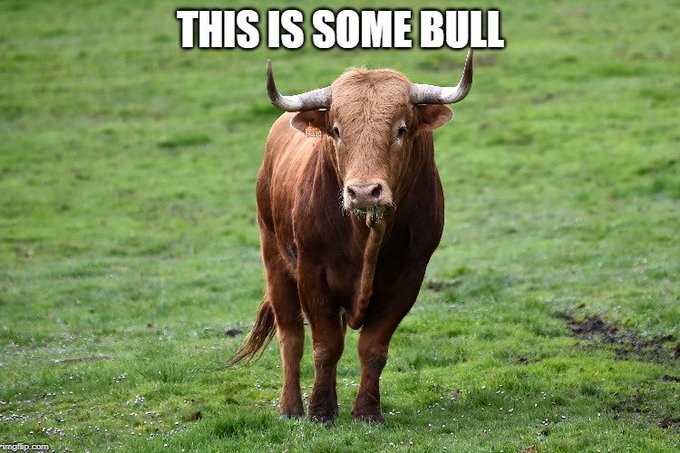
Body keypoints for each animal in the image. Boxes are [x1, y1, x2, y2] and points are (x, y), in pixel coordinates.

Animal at [232, 50, 474, 423]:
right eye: (336, 130)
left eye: (400, 129)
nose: (363, 192)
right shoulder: (312, 272)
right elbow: (325, 345)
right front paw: (320, 411)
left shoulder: (410, 276)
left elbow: (373, 347)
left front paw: (367, 411)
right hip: (274, 257)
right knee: (291, 336)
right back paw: (290, 408)